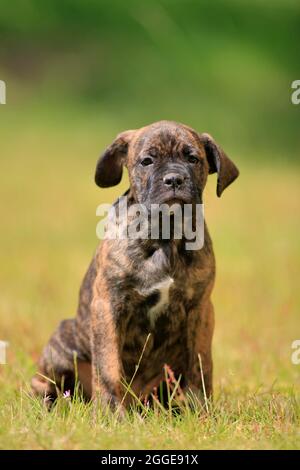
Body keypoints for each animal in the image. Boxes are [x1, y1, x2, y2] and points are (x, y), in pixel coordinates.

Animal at [31, 120, 239, 408]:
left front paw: (200, 408)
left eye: (193, 159)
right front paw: (109, 412)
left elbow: (200, 362)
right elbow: (108, 367)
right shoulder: (108, 305)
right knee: (46, 385)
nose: (174, 179)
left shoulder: (200, 309)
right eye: (147, 161)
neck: (166, 234)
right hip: (62, 345)